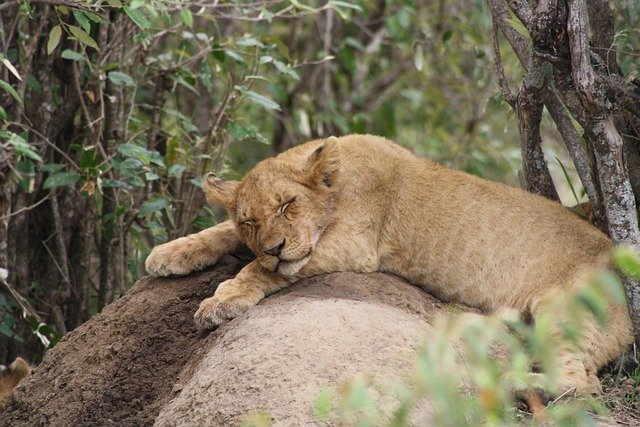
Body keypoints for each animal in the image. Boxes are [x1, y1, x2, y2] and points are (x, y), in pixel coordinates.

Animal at [146, 134, 633, 397]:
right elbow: (221, 233)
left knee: (582, 383)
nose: (276, 246)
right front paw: (168, 254)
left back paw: (508, 382)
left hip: (562, 306)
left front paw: (220, 301)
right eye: (249, 220)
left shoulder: (355, 246)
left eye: (287, 204)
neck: (337, 183)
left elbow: (258, 270)